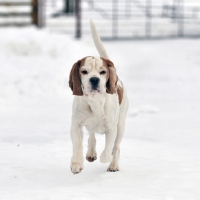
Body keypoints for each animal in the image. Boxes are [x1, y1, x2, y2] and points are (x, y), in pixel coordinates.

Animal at [68, 19, 128, 174]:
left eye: (102, 72)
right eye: (84, 71)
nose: (94, 79)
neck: (95, 101)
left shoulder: (111, 128)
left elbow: (108, 148)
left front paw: (106, 157)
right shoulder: (76, 125)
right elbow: (78, 145)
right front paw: (76, 163)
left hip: (121, 125)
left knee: (116, 146)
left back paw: (113, 164)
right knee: (92, 135)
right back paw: (91, 153)